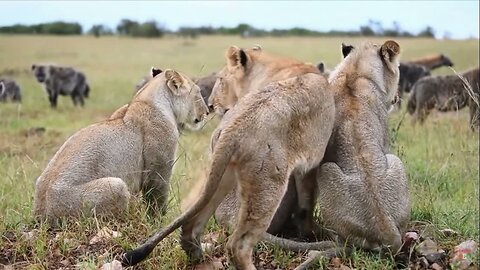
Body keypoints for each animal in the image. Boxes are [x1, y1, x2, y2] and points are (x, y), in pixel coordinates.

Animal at [31, 68, 208, 224]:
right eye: (198, 93)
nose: (207, 112)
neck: (147, 98)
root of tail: (41, 215)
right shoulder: (159, 167)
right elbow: (157, 198)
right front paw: (158, 222)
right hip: (116, 186)